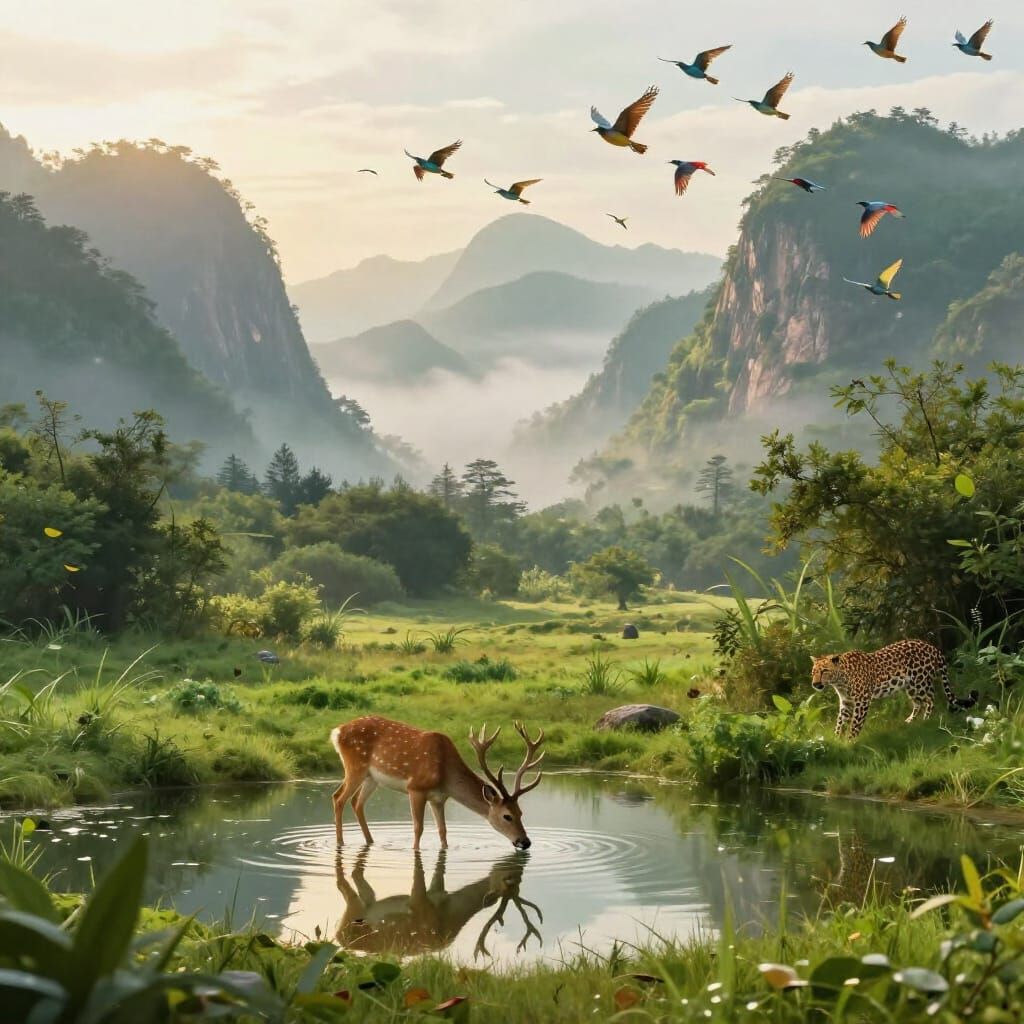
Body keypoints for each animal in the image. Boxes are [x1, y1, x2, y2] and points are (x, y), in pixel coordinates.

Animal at [329, 715, 544, 850]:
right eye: (507, 816)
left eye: (521, 812)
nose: (525, 842)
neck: (445, 775)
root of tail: (337, 732)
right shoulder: (415, 788)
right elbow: (418, 828)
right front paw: (415, 852)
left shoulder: (439, 798)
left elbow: (443, 830)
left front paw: (445, 850)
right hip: (355, 767)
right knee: (338, 797)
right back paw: (340, 843)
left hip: (372, 778)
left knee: (356, 802)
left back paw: (370, 841)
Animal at [334, 848, 542, 958]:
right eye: (508, 881)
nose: (518, 869)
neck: (450, 912)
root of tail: (338, 937)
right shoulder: (420, 902)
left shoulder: (438, 892)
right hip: (354, 907)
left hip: (365, 901)